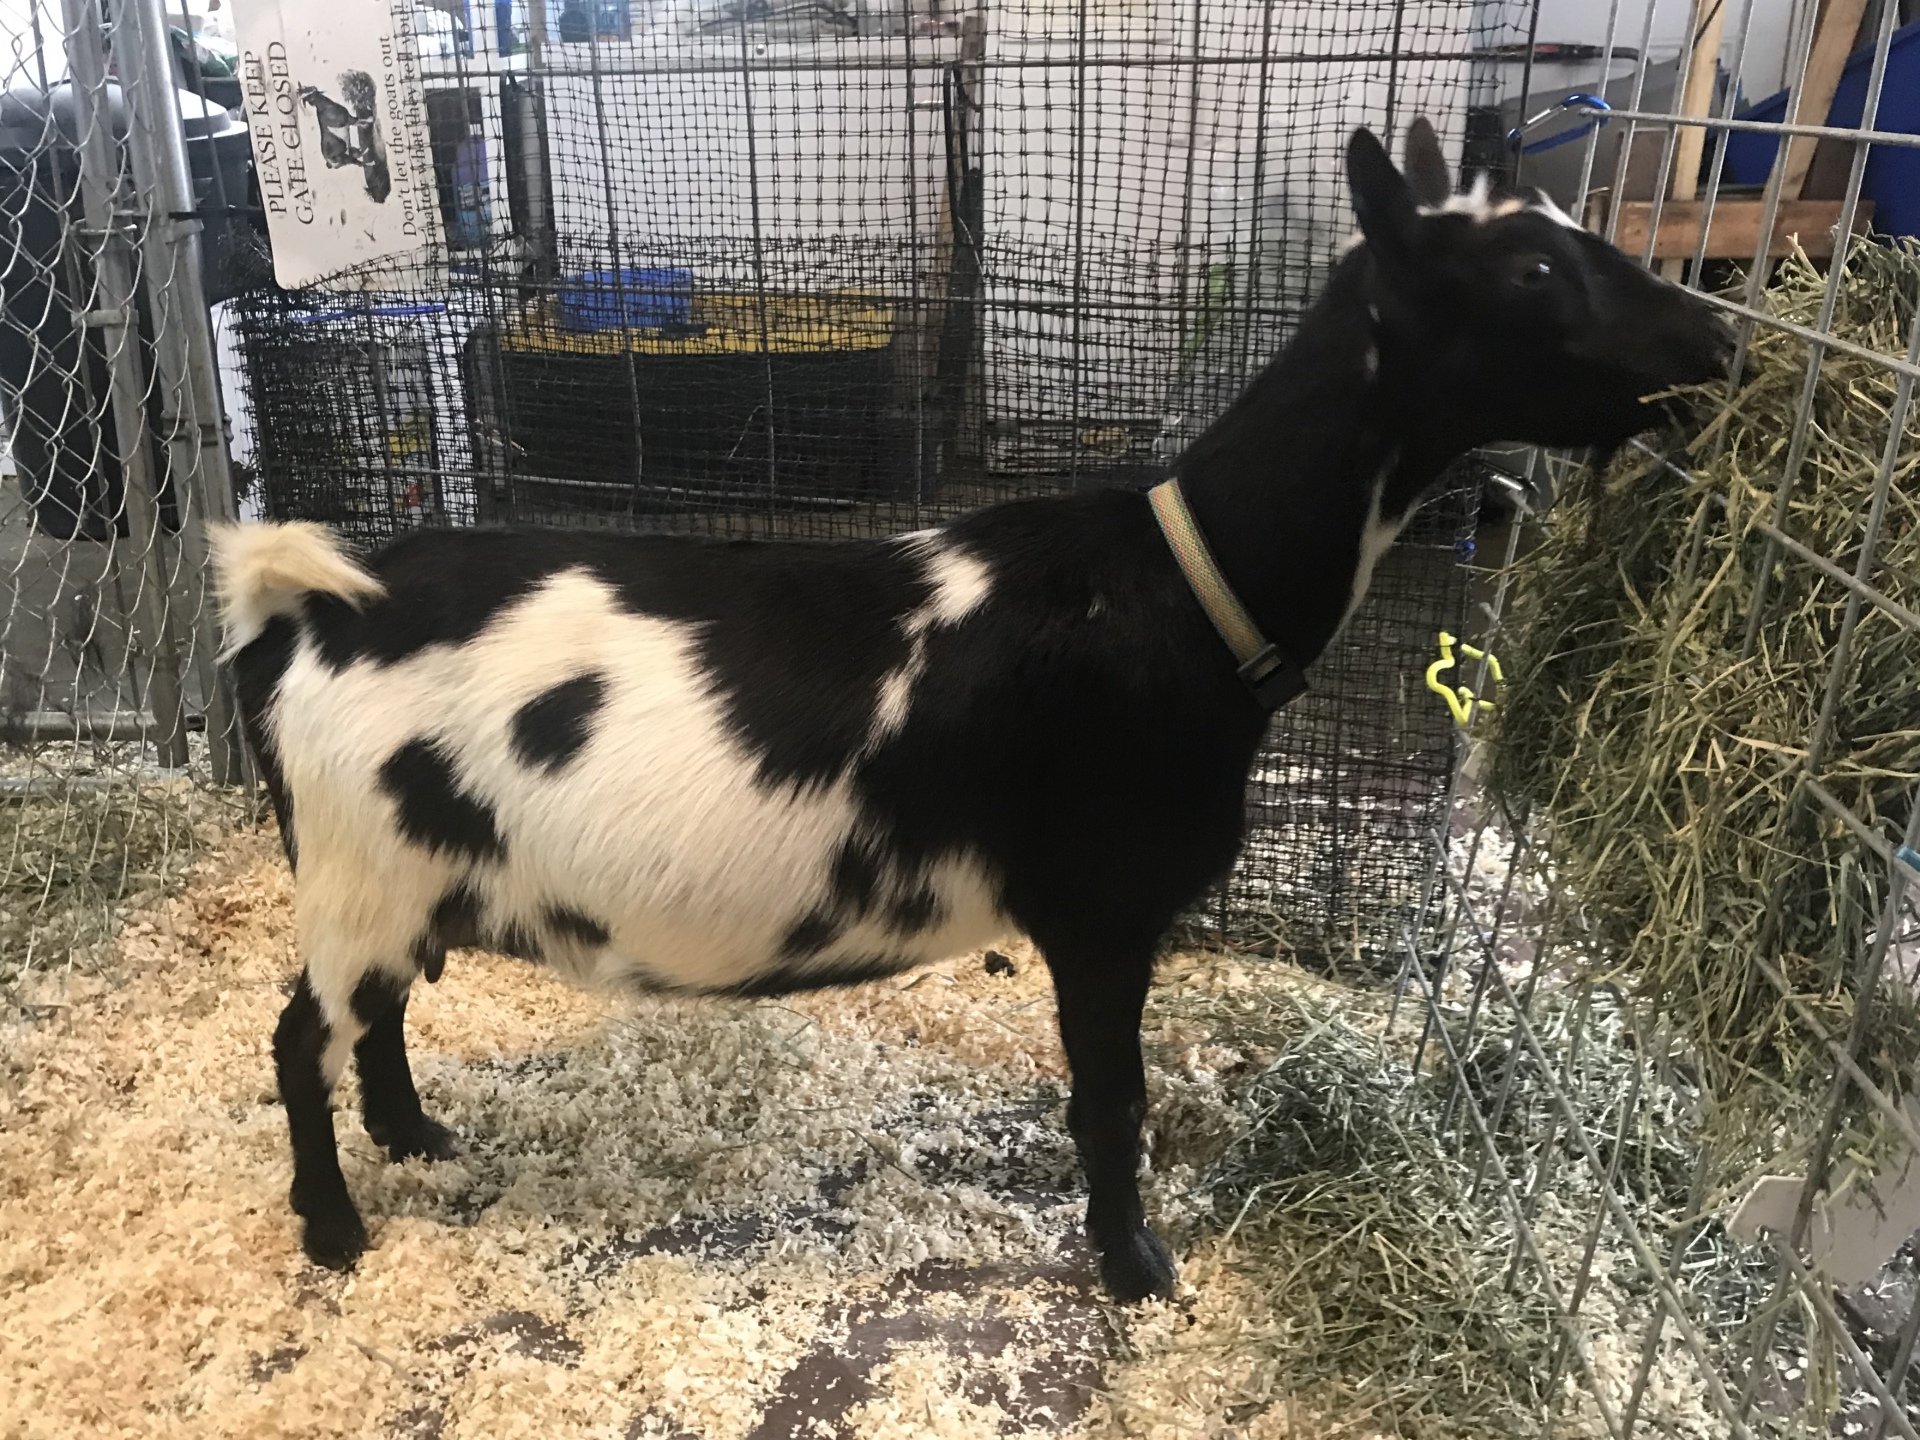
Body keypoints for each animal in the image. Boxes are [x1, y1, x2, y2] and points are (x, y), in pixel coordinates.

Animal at [213, 119, 1734, 1303]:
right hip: (359, 876)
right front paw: (1137, 1267)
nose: (1719, 340)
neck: (1182, 590)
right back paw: (335, 1226)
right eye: (1536, 269)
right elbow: (1112, 1101)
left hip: (404, 882)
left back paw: (416, 1140)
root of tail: (316, 605)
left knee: (377, 1020)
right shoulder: (1103, 906)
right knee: (298, 1040)